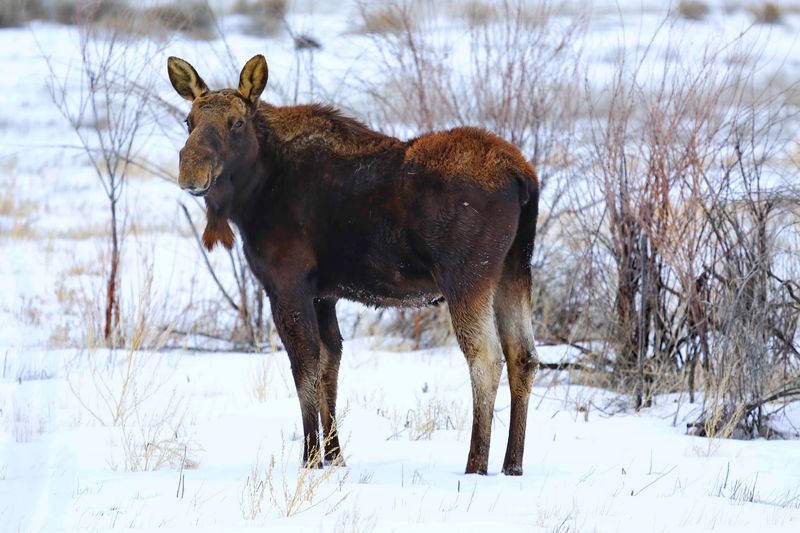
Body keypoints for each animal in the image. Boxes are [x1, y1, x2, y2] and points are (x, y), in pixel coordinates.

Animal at [167, 54, 540, 475]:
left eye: (237, 123)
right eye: (189, 121)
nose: (191, 172)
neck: (254, 189)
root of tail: (524, 176)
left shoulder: (286, 284)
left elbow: (306, 367)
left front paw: (311, 457)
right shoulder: (323, 294)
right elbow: (330, 366)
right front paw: (334, 456)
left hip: (467, 276)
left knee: (486, 357)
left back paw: (476, 463)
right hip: (515, 268)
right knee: (523, 356)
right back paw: (512, 465)